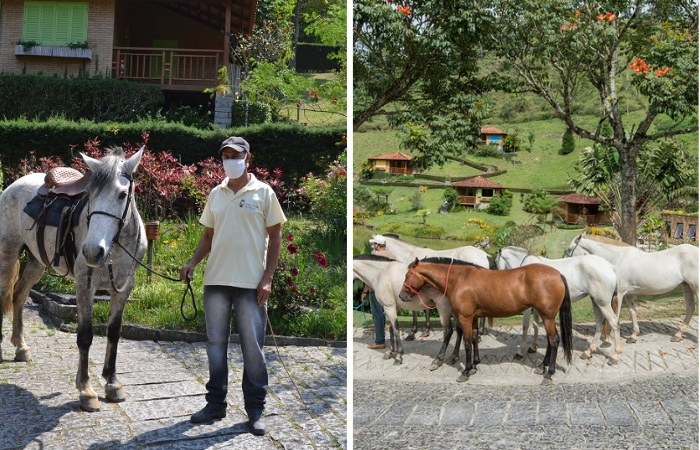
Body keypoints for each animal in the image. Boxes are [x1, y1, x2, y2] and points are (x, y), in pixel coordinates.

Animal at [0, 149, 146, 412]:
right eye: (90, 195)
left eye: (122, 194)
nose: (93, 251)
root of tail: (14, 184)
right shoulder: (84, 285)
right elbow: (85, 336)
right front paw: (86, 390)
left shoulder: (123, 287)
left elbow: (114, 332)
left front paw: (112, 383)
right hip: (7, 254)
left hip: (36, 262)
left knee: (19, 294)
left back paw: (21, 347)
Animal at [402, 258, 572, 382]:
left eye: (408, 275)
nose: (402, 296)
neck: (459, 279)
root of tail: (558, 274)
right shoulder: (473, 317)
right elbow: (474, 338)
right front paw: (474, 365)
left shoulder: (465, 318)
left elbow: (467, 342)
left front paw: (466, 371)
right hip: (546, 316)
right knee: (551, 341)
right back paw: (542, 367)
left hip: (547, 316)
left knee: (554, 340)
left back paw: (549, 373)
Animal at [568, 234, 696, 342]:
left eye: (570, 249)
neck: (618, 258)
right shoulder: (628, 294)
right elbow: (632, 312)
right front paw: (633, 336)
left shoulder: (618, 294)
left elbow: (616, 315)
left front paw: (610, 339)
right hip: (686, 287)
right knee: (690, 308)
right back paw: (678, 335)